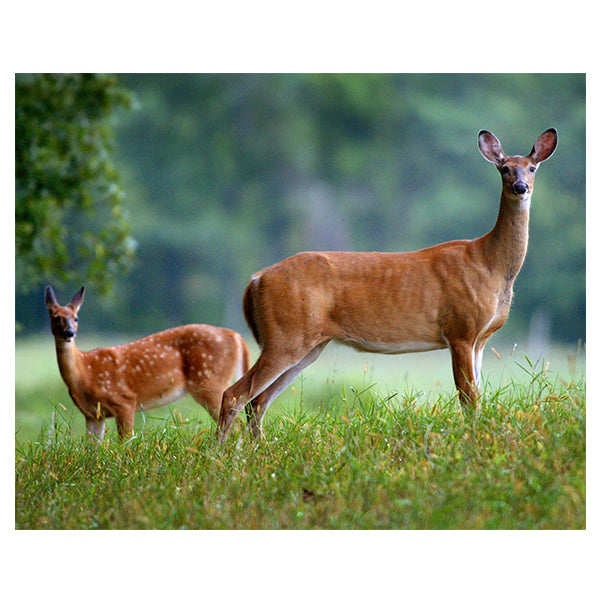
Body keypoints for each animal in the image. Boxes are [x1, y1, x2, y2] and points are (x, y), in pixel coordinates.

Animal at [45, 286, 250, 440]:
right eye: (55, 318)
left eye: (76, 318)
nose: (70, 332)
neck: (85, 374)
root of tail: (237, 337)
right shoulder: (93, 415)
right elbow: (93, 448)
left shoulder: (124, 400)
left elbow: (126, 441)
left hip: (209, 381)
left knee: (236, 424)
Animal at [218, 126, 560, 440]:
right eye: (504, 168)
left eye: (532, 168)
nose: (520, 187)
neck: (491, 265)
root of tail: (256, 279)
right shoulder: (460, 329)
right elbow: (469, 399)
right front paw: (471, 441)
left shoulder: (481, 339)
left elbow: (478, 397)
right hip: (285, 334)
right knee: (234, 394)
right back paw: (223, 457)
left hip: (308, 344)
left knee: (257, 401)